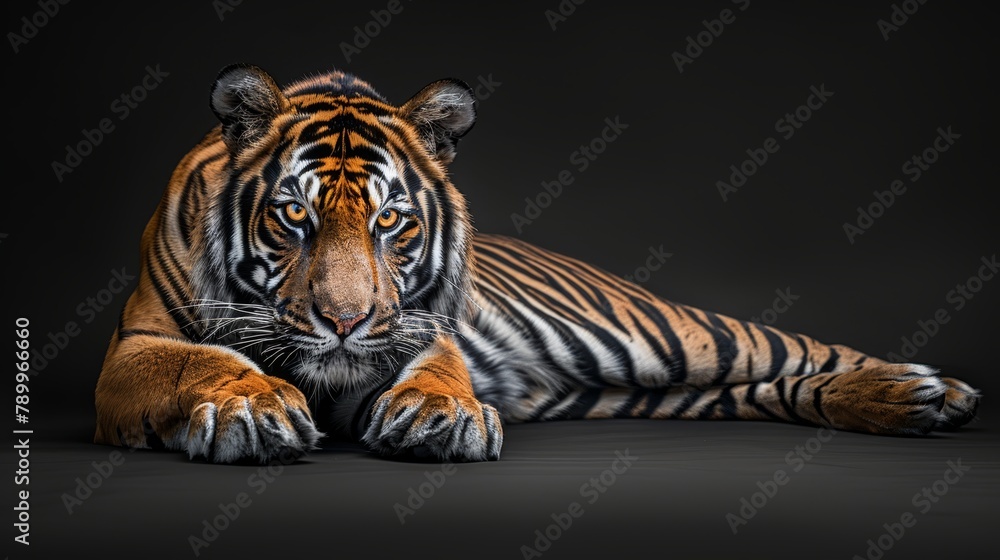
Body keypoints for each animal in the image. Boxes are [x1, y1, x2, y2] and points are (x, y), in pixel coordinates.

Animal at [93, 64, 980, 463]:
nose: (344, 323)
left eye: (390, 221)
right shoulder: (134, 349)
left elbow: (435, 370)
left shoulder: (427, 331)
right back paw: (910, 402)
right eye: (293, 217)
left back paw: (927, 392)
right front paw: (253, 407)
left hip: (667, 334)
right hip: (643, 390)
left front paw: (441, 416)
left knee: (798, 351)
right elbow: (198, 360)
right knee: (757, 389)